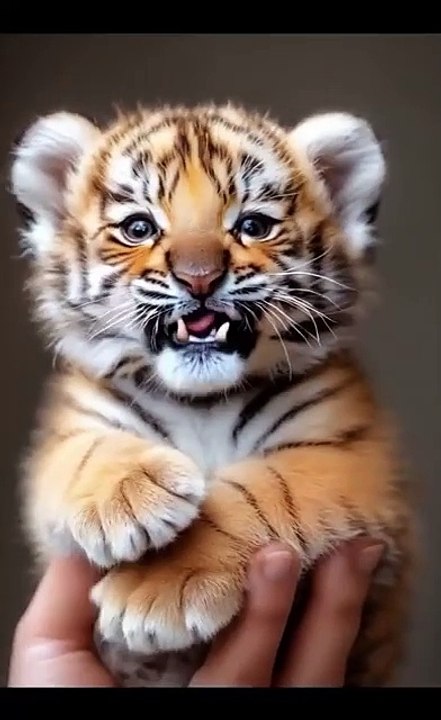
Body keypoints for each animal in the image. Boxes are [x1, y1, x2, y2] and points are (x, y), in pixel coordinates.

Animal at [9, 102, 415, 687]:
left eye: (253, 225)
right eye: (138, 228)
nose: (199, 277)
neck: (201, 401)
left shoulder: (348, 452)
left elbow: (264, 490)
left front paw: (158, 591)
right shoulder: (64, 432)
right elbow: (87, 448)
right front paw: (129, 493)